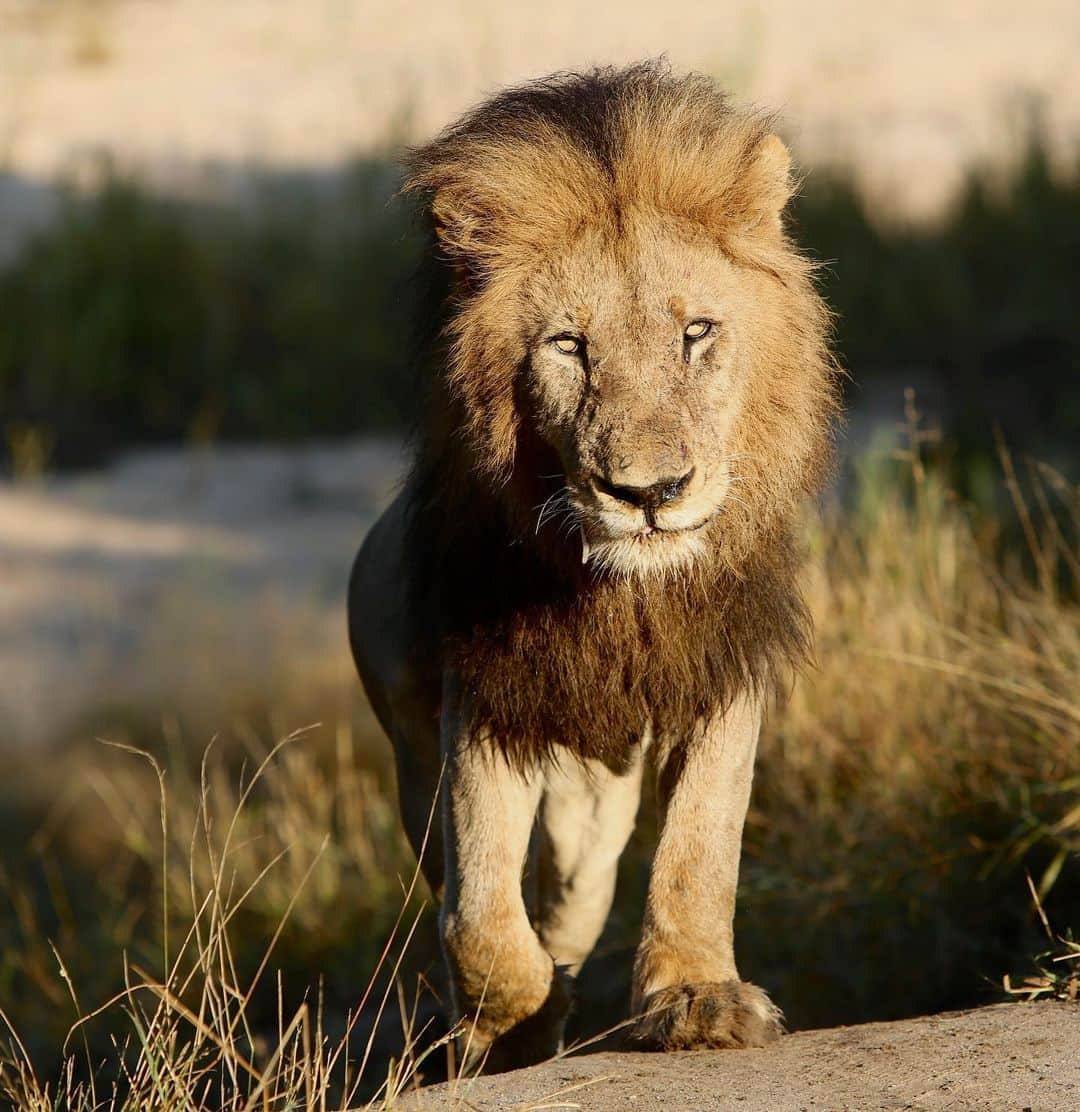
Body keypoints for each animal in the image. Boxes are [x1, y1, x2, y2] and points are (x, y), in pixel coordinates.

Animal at [351, 63, 840, 1076]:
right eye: (569, 346)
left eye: (698, 332)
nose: (648, 492)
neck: (624, 596)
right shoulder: (483, 700)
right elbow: (477, 916)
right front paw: (510, 1027)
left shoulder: (720, 674)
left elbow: (699, 850)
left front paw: (695, 999)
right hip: (415, 755)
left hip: (593, 805)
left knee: (575, 896)